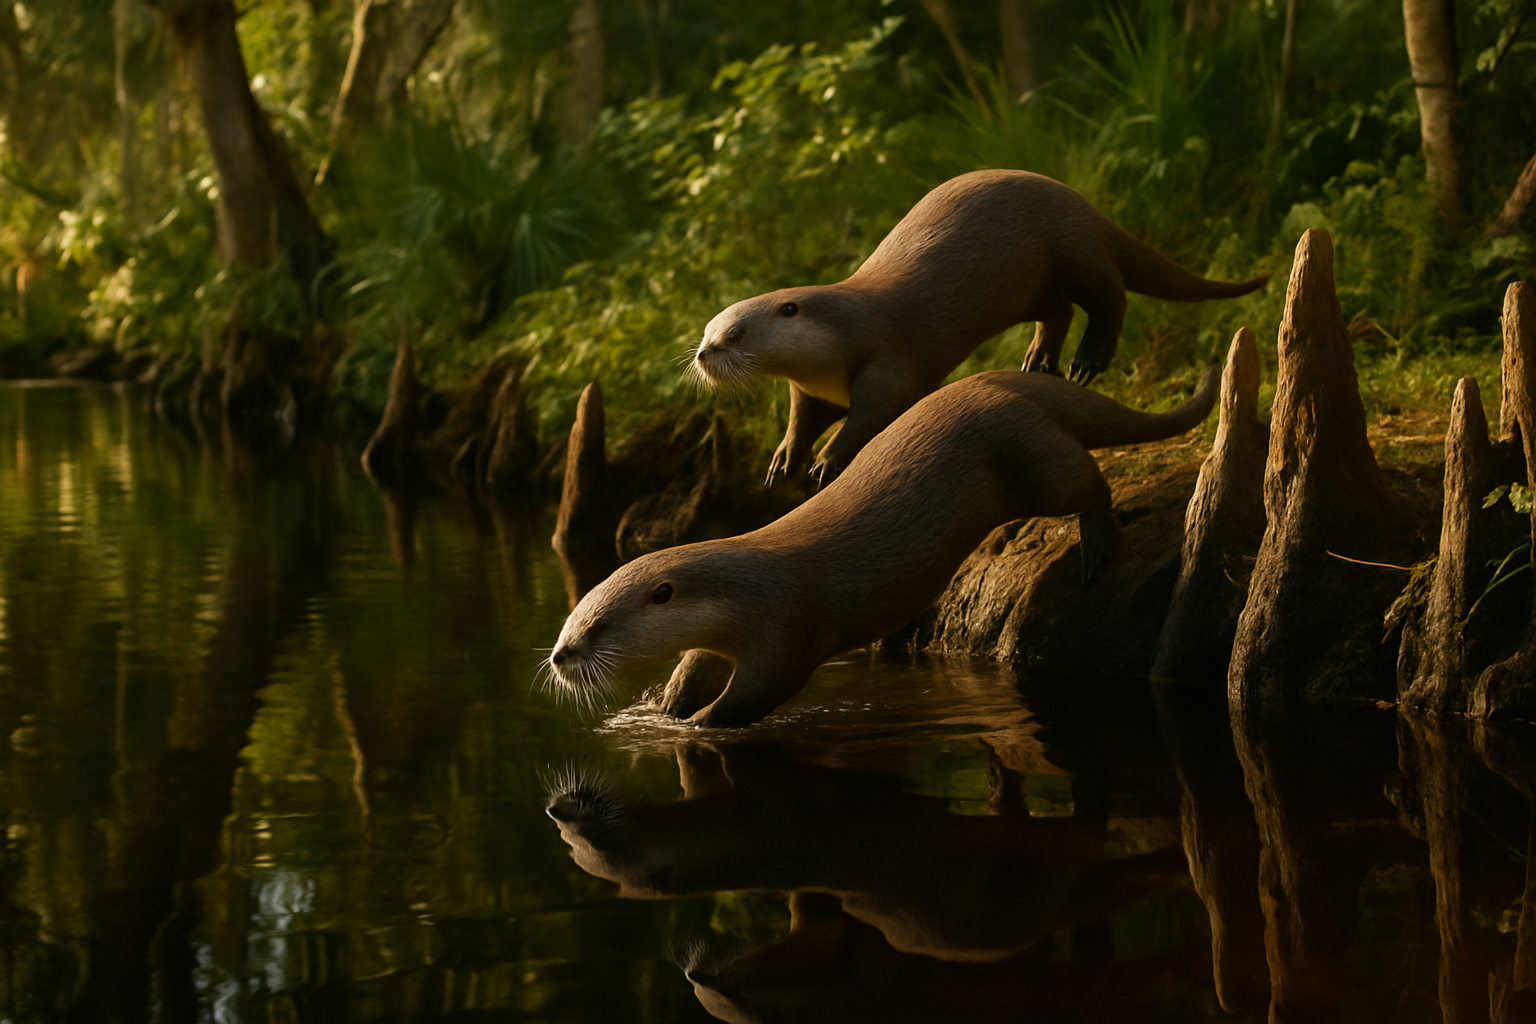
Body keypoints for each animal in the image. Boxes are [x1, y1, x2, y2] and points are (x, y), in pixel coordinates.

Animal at [547, 367, 1219, 727]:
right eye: (569, 620)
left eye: (597, 628)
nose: (558, 657)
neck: (748, 585)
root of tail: (1001, 379)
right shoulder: (723, 634)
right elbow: (695, 665)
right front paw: (670, 707)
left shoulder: (786, 625)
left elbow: (762, 689)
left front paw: (698, 724)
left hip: (1030, 454)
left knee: (1088, 481)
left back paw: (1097, 546)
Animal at [692, 169, 1264, 484]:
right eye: (705, 333)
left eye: (734, 335)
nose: (701, 357)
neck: (836, 341)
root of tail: (1081, 201)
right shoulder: (814, 388)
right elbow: (802, 417)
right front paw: (785, 458)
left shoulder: (886, 359)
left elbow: (875, 411)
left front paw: (828, 461)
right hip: (1030, 288)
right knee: (1058, 310)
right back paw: (1039, 361)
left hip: (1074, 247)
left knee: (1109, 296)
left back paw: (1085, 361)